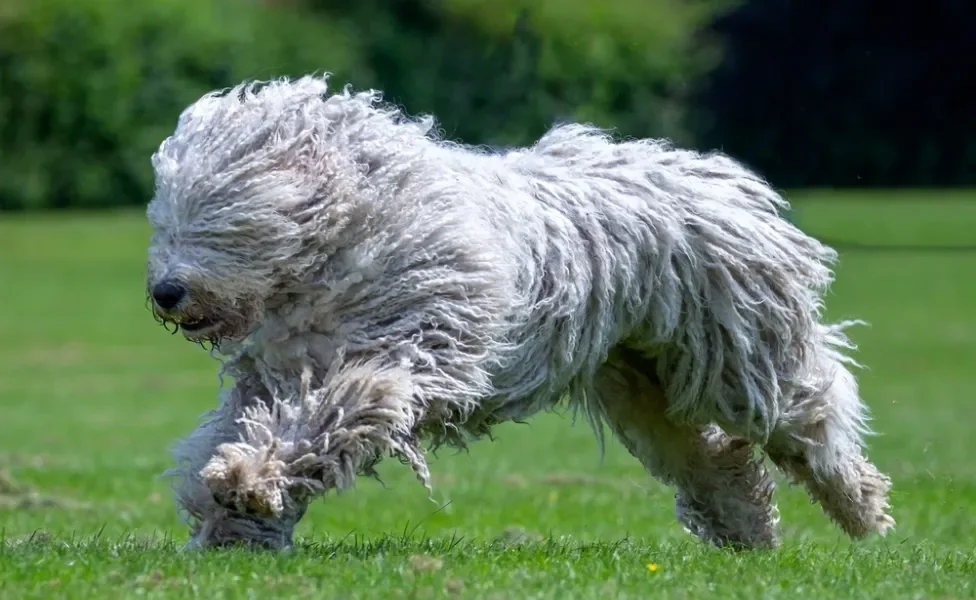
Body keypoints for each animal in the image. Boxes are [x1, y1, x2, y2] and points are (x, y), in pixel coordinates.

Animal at [145, 74, 892, 548]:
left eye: (222, 222)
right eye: (166, 220)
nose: (165, 292)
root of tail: (723, 183)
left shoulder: (411, 349)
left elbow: (335, 412)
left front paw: (249, 479)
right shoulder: (274, 371)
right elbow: (244, 424)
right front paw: (232, 517)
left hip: (737, 356)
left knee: (810, 416)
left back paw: (860, 506)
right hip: (638, 378)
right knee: (711, 458)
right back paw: (748, 529)